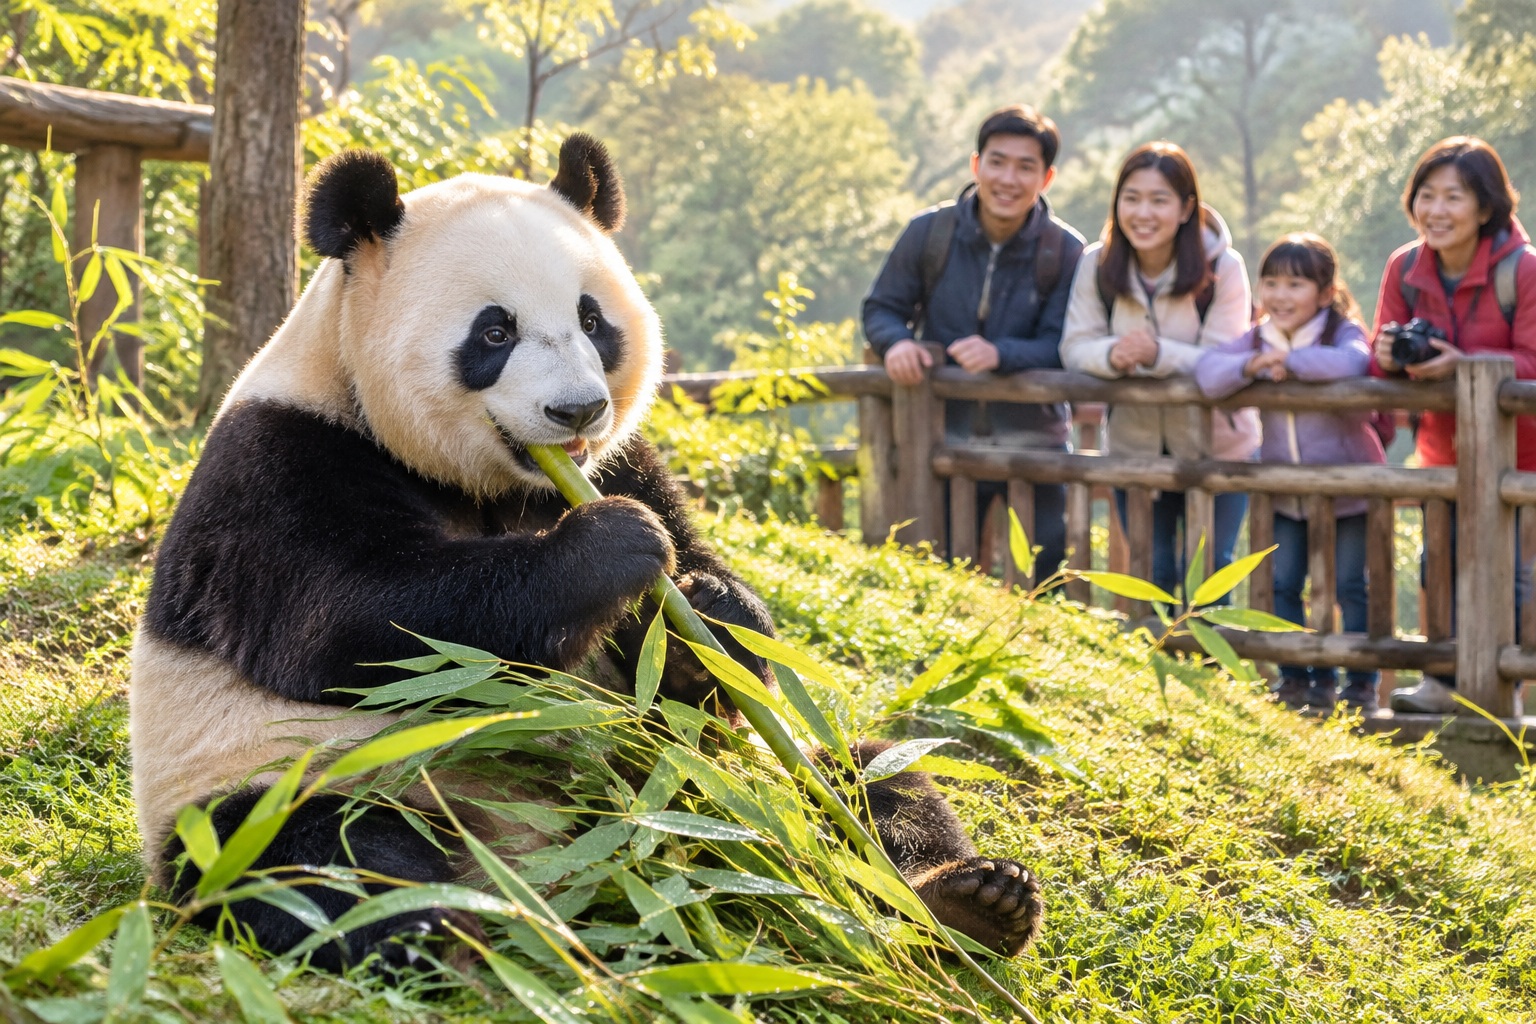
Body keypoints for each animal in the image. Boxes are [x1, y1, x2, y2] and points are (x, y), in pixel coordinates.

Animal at [129, 135, 1043, 972]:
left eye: (592, 320)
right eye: (494, 330)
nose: (576, 411)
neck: (496, 482)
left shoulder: (621, 458)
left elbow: (690, 637)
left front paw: (709, 615)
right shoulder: (282, 464)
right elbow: (364, 624)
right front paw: (610, 549)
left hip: (726, 773)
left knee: (868, 779)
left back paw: (967, 901)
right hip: (296, 782)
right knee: (324, 865)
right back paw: (461, 932)